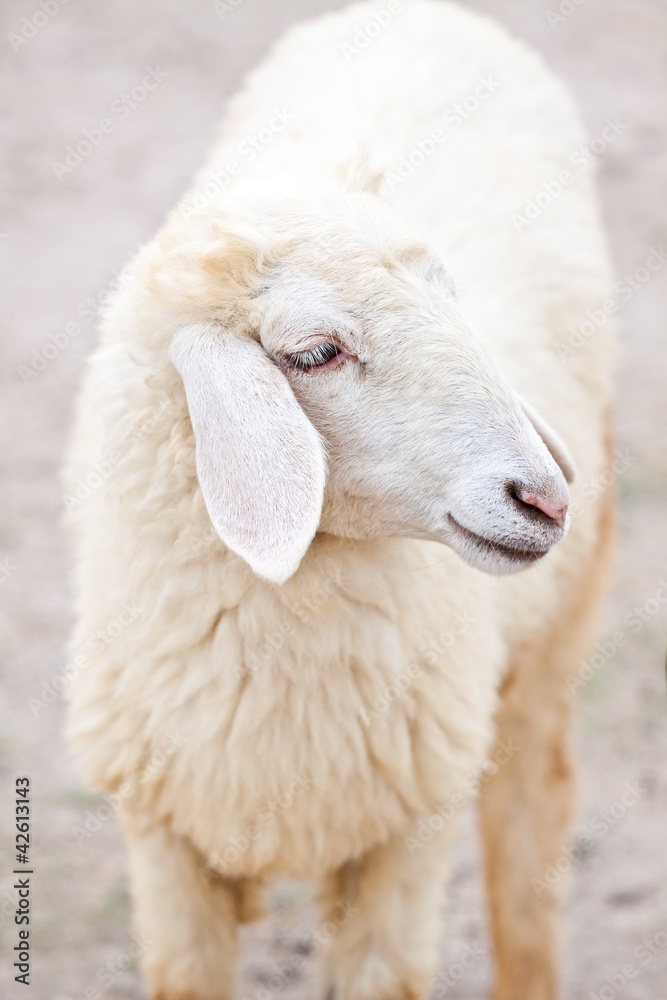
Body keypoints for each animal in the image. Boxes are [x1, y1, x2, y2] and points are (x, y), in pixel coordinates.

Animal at [66, 1, 616, 1000]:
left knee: (529, 837)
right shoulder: (165, 847)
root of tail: (416, 10)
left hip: (548, 648)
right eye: (316, 352)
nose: (545, 498)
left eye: (451, 297)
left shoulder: (403, 842)